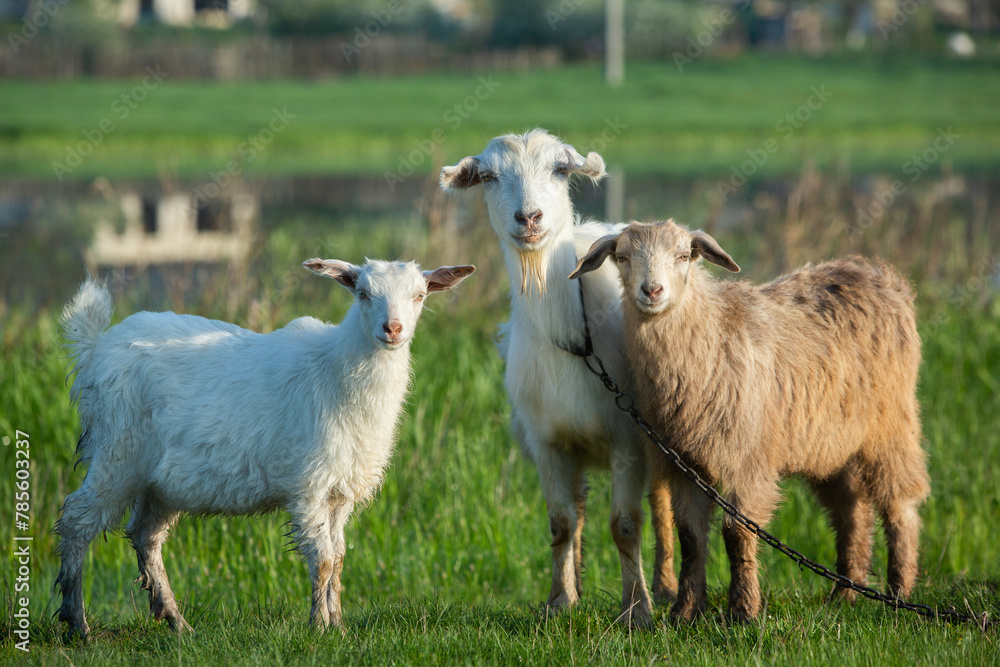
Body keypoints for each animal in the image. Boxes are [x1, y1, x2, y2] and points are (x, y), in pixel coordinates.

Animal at [56, 259, 475, 640]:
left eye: (419, 295)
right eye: (362, 293)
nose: (393, 329)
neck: (335, 372)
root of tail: (95, 346)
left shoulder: (340, 491)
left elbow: (339, 559)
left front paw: (337, 625)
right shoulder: (308, 485)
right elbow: (323, 561)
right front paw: (318, 627)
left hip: (162, 482)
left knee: (145, 536)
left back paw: (177, 621)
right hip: (117, 451)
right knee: (77, 521)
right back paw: (78, 624)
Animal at [441, 129, 675, 626]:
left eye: (560, 169)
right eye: (488, 177)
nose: (529, 217)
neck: (576, 336)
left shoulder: (629, 438)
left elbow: (626, 526)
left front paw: (637, 609)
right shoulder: (547, 441)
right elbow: (561, 523)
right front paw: (560, 601)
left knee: (662, 503)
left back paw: (665, 587)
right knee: (580, 507)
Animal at [571, 220, 929, 622]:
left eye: (684, 255)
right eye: (622, 256)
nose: (652, 290)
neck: (710, 339)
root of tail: (876, 272)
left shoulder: (747, 461)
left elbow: (736, 533)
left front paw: (743, 611)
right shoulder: (683, 463)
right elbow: (690, 536)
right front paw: (685, 612)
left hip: (891, 424)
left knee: (899, 502)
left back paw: (899, 592)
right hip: (833, 443)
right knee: (851, 509)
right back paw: (845, 593)